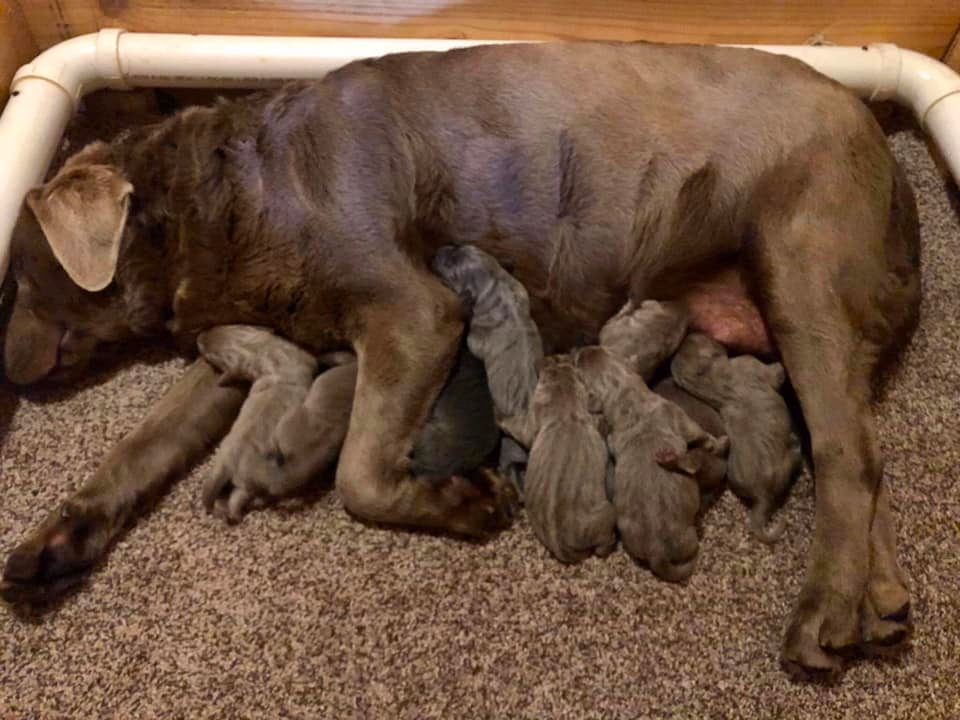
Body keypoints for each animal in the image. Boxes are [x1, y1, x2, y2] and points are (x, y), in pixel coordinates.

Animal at [568, 344, 728, 584]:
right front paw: (718, 441)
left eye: (604, 349)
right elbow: (702, 435)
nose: (582, 348)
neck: (624, 395)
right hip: (688, 536)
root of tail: (657, 553)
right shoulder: (681, 419)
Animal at [672, 334, 808, 544]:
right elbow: (777, 373)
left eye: (689, 340)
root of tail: (762, 497)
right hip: (788, 465)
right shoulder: (749, 365)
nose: (688, 334)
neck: (717, 385)